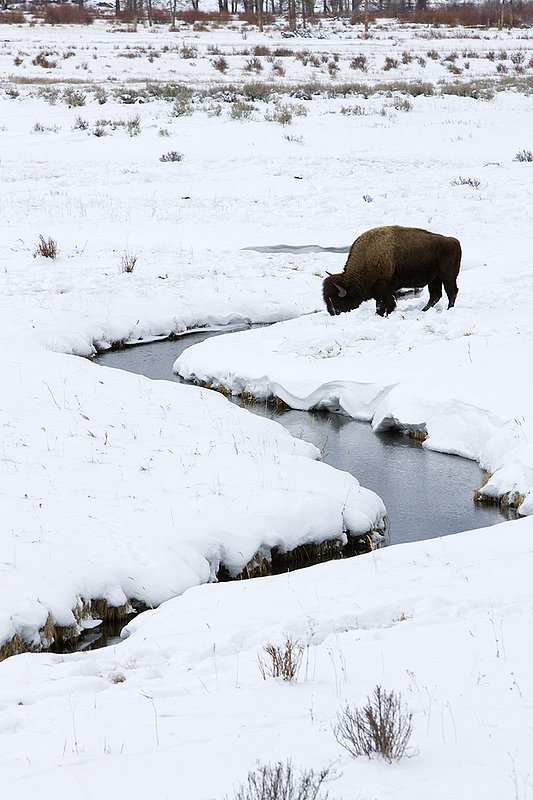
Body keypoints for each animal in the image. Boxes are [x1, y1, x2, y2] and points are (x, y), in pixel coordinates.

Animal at [322, 225, 461, 317]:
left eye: (337, 301)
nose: (333, 313)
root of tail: (454, 241)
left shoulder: (384, 290)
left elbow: (384, 304)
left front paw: (382, 314)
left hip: (448, 277)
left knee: (451, 292)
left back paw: (449, 309)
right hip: (434, 279)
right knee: (435, 295)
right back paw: (424, 310)